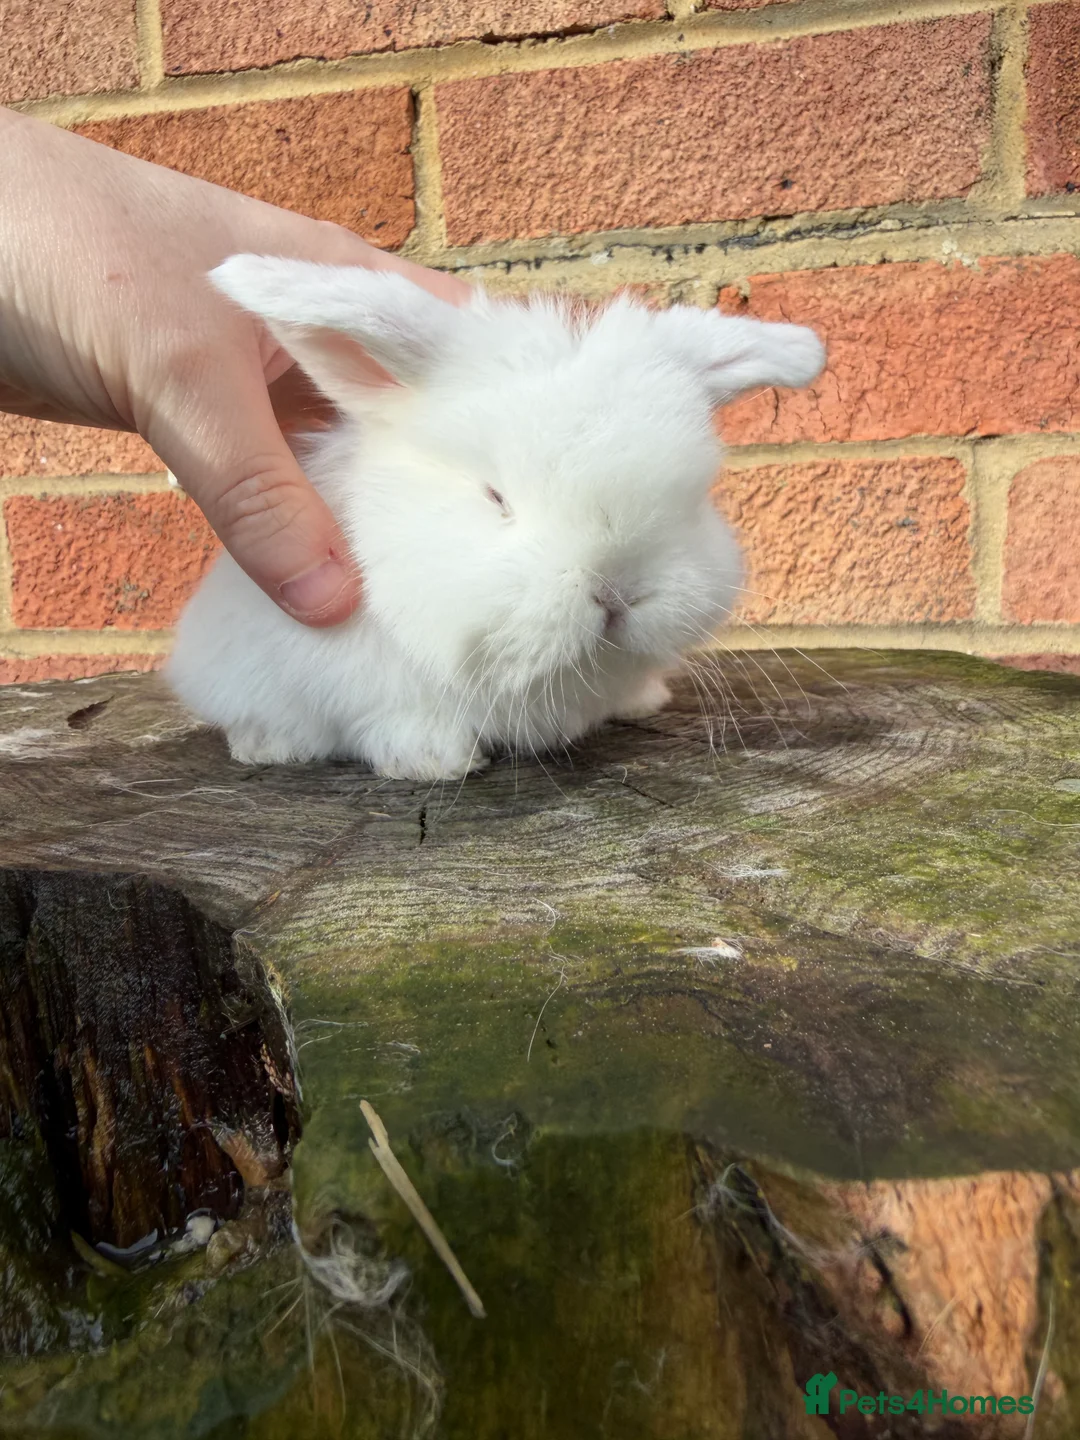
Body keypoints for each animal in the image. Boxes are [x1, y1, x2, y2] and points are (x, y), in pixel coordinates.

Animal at [166, 257, 824, 781]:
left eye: (693, 498)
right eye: (495, 496)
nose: (617, 593)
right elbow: (391, 717)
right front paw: (432, 761)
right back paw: (267, 746)